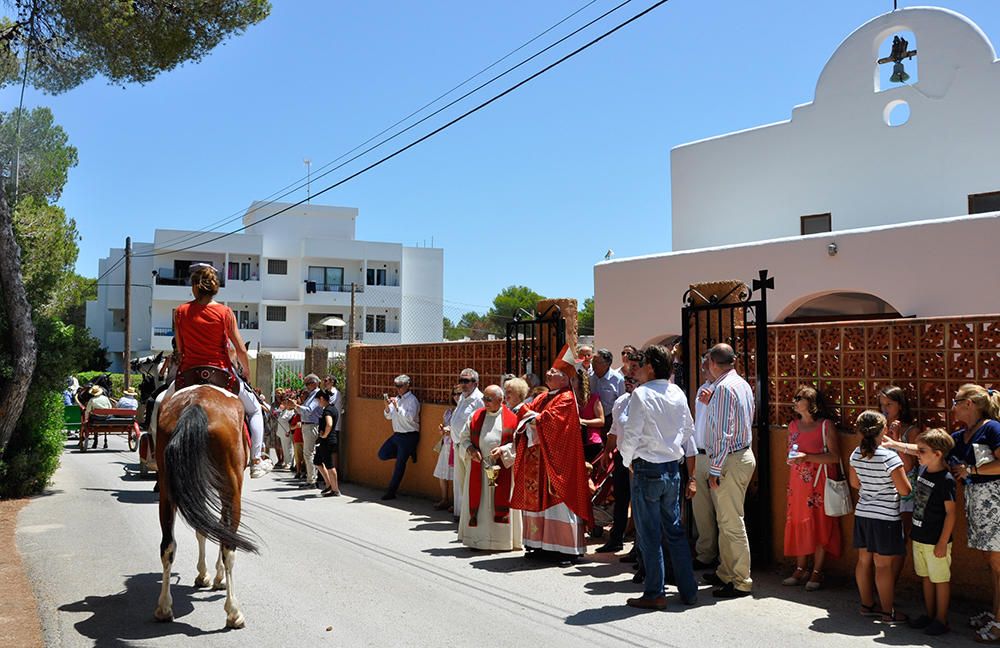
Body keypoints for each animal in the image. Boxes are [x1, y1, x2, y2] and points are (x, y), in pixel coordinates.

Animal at [152, 384, 256, 628]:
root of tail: (196, 402)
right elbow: (218, 530)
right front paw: (216, 578)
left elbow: (203, 529)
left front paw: (203, 575)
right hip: (231, 489)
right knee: (228, 545)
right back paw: (233, 612)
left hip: (168, 490)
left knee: (167, 546)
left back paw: (164, 607)